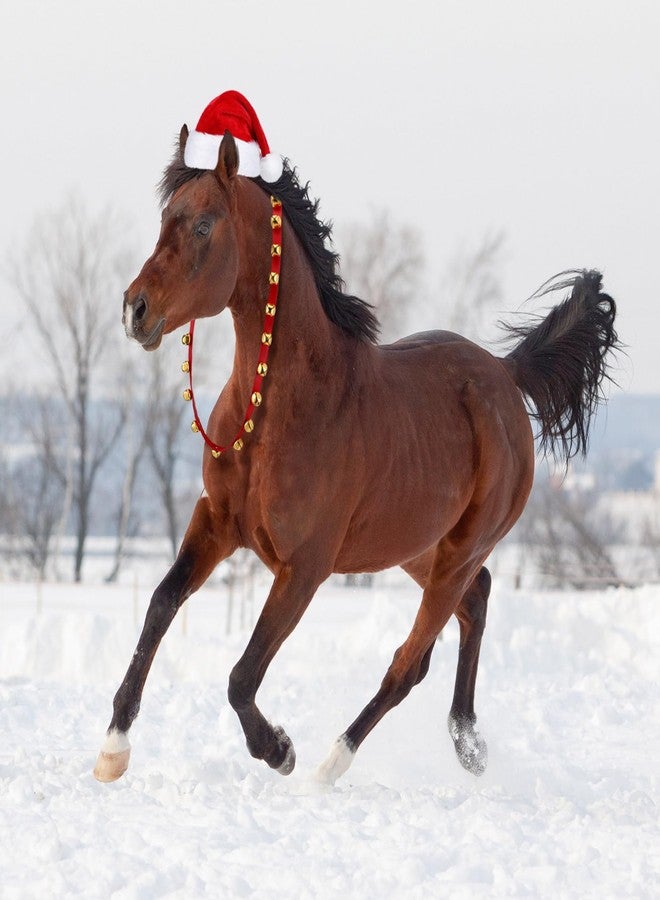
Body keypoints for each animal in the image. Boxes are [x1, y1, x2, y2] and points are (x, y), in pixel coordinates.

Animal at [94, 128, 618, 784]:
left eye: (203, 226)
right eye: (166, 217)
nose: (133, 309)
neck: (276, 413)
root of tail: (505, 372)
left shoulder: (305, 565)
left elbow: (242, 675)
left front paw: (280, 750)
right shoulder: (215, 522)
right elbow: (161, 605)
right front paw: (113, 746)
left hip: (456, 553)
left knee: (410, 660)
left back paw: (331, 763)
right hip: (415, 547)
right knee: (476, 600)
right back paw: (468, 743)